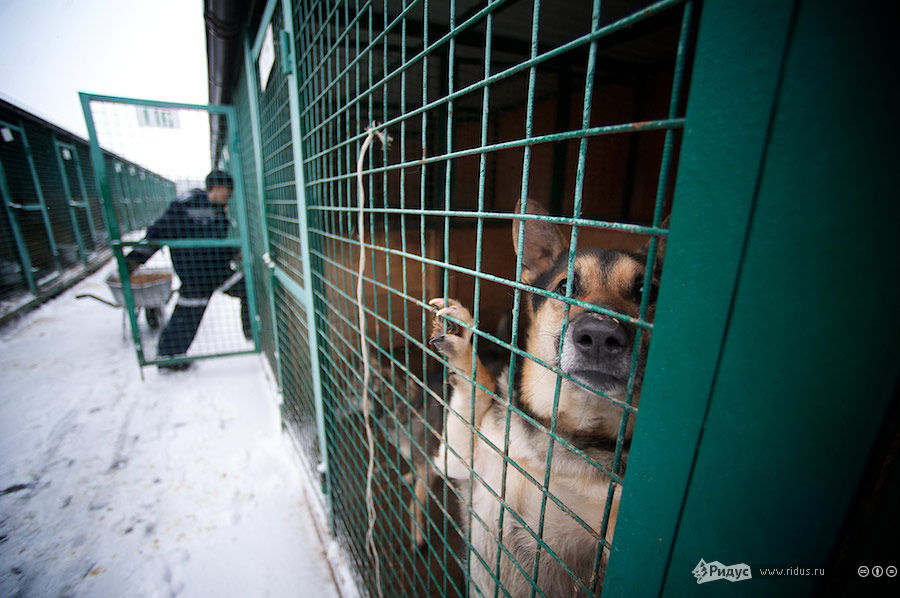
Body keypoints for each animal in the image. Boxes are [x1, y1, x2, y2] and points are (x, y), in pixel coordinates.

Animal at [414, 202, 660, 598]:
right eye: (565, 287)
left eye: (646, 291)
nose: (601, 336)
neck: (563, 430)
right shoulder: (458, 460)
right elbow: (476, 393)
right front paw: (465, 349)